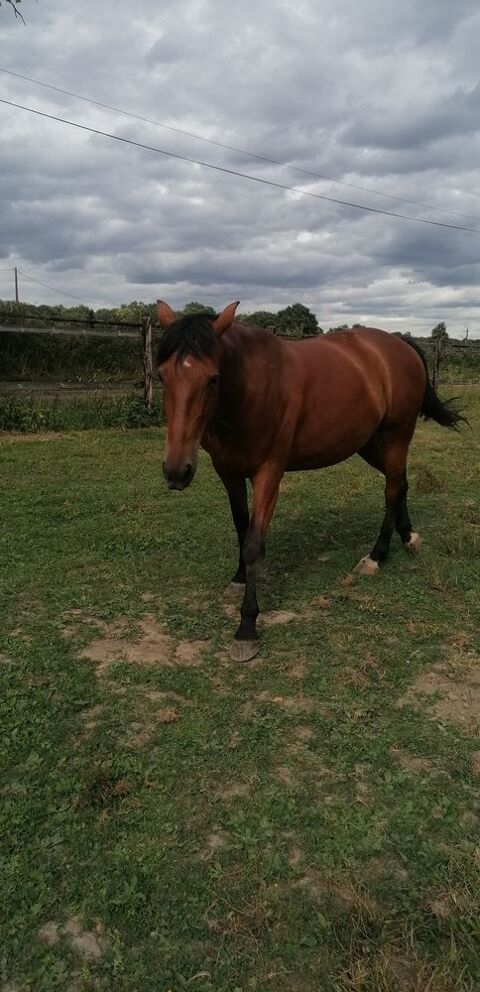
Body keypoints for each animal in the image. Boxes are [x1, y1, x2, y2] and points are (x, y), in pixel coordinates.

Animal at [156, 300, 464, 661]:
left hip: (395, 437)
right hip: (368, 443)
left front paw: (247, 628)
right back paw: (407, 537)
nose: (176, 472)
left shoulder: (269, 474)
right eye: (162, 375)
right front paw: (238, 580)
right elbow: (241, 529)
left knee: (391, 490)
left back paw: (376, 556)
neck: (252, 389)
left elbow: (254, 544)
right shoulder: (228, 471)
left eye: (213, 378)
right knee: (399, 484)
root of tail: (400, 345)